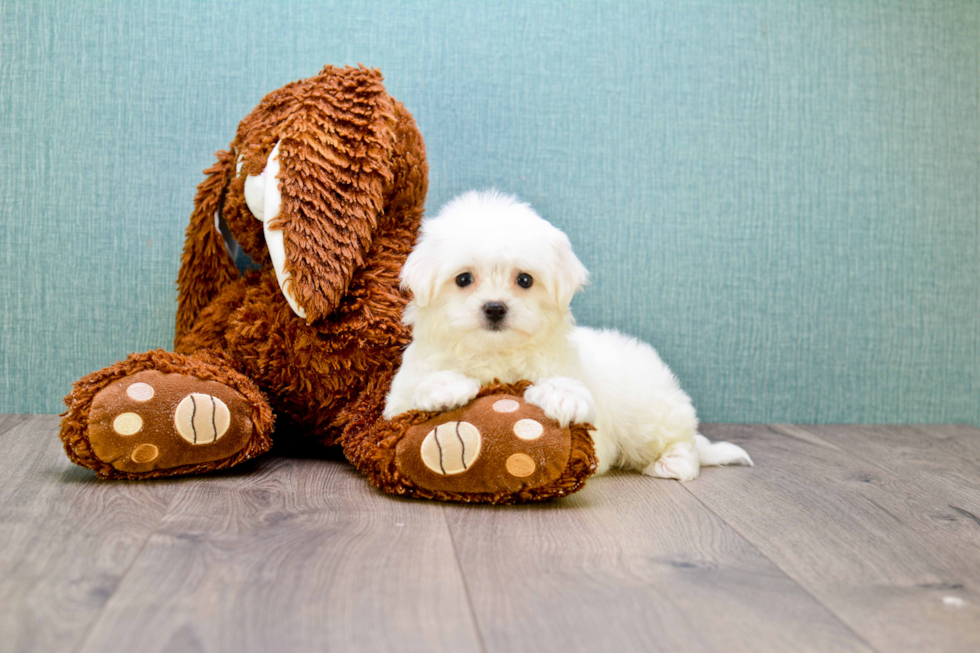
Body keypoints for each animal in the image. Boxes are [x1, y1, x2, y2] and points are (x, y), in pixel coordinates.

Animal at [382, 188, 752, 478]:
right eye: (463, 279)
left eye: (525, 280)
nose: (495, 308)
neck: (495, 353)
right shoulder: (394, 407)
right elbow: (411, 400)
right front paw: (445, 387)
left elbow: (573, 395)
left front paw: (563, 397)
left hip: (651, 411)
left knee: (680, 441)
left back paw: (674, 463)